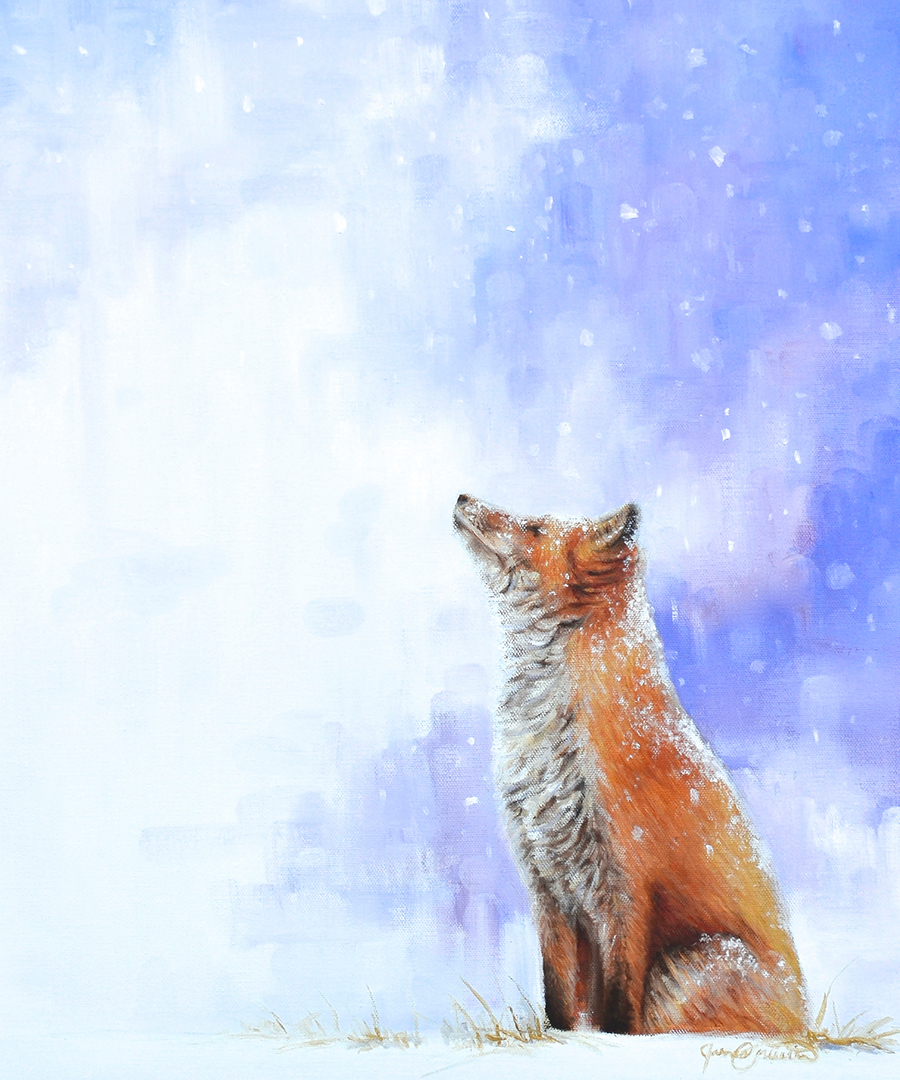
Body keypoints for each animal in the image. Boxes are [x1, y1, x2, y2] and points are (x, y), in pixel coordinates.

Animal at [453, 493, 808, 1036]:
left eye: (534, 529)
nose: (461, 497)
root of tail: (808, 1021)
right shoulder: (547, 884)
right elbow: (558, 996)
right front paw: (561, 1040)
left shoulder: (626, 883)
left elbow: (621, 1006)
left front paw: (614, 1044)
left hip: (683, 969)